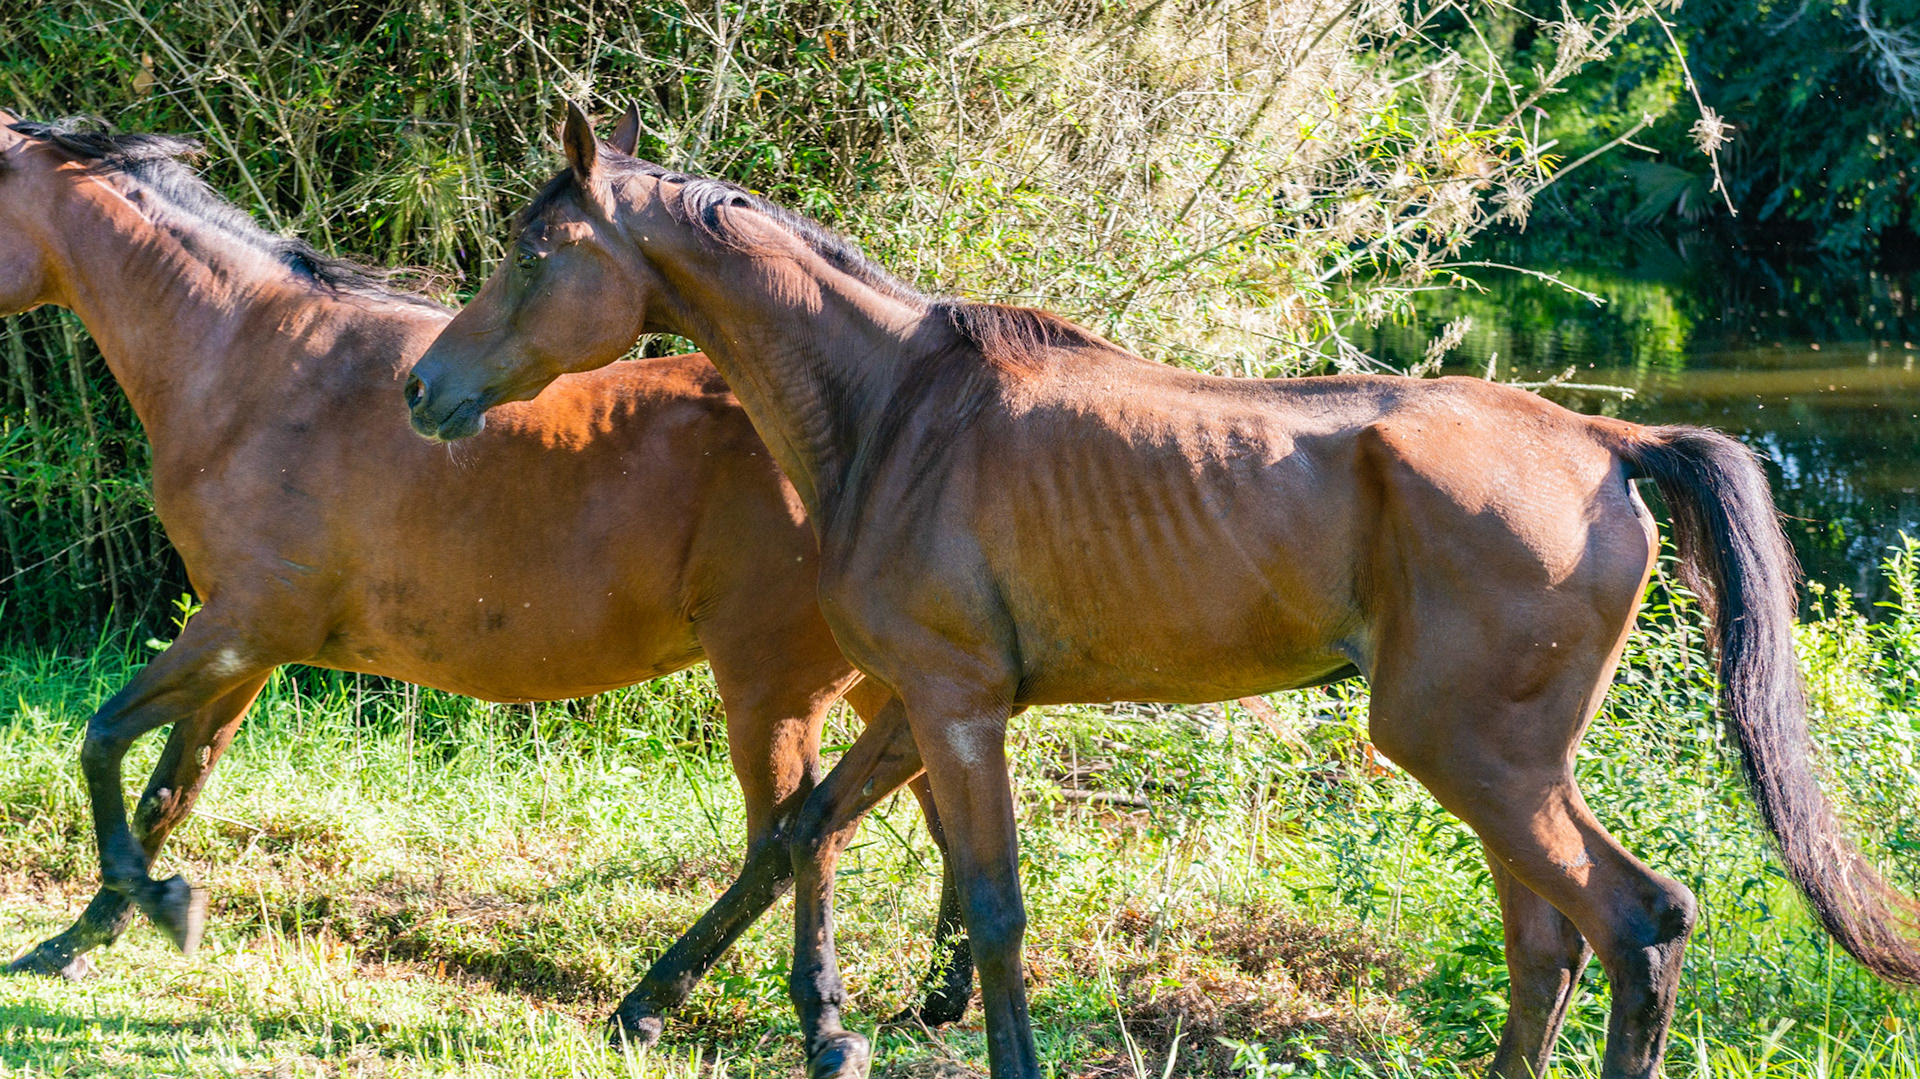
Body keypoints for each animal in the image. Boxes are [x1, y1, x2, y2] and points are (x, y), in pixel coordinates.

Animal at [0, 112, 976, 1044]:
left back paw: (665, 1005)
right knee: (930, 802)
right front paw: (82, 938)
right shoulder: (246, 648)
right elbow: (170, 788)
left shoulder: (240, 625)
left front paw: (146, 910)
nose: (426, 393)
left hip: (773, 687)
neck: (253, 365)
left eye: (531, 254)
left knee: (789, 839)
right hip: (876, 680)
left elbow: (103, 740)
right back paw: (936, 996)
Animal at [405, 101, 1920, 1079]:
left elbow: (992, 904)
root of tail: (1607, 442)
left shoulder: (957, 704)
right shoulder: (917, 700)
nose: (425, 388)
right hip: (1502, 761)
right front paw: (661, 1003)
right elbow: (799, 834)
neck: (895, 409)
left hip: (1471, 750)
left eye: (534, 256)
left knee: (1635, 923)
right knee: (1550, 940)